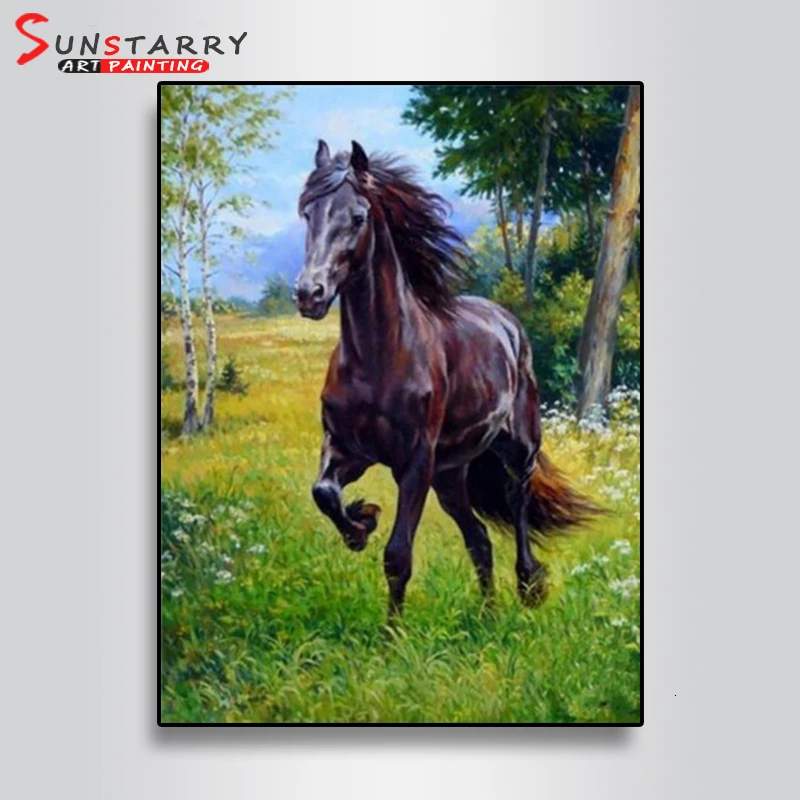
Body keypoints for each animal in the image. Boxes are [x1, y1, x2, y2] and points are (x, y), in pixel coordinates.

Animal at [295, 140, 598, 621]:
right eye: (308, 212)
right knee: (479, 539)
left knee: (518, 504)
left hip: (517, 450)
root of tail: (507, 323)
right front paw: (362, 522)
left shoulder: (415, 462)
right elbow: (323, 491)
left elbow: (398, 556)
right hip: (451, 476)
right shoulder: (347, 449)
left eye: (357, 217)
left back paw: (529, 587)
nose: (309, 294)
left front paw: (392, 635)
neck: (378, 358)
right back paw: (489, 615)